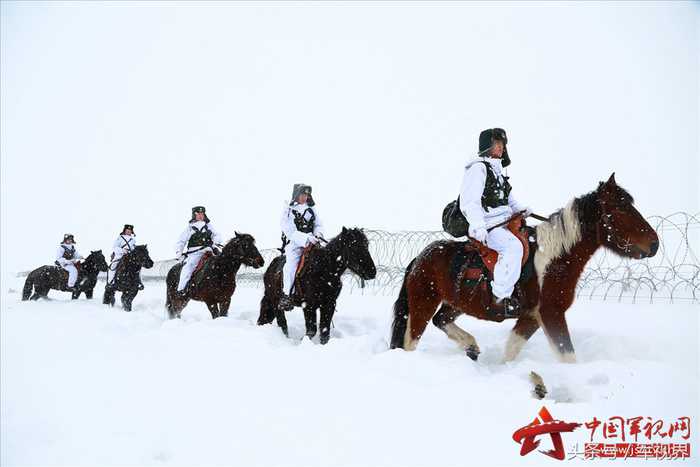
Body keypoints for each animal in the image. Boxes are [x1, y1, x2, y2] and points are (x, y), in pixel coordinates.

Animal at [392, 174, 660, 364]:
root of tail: (419, 259)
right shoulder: (551, 314)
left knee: (442, 320)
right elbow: (568, 356)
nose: (655, 244)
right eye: (620, 208)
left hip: (456, 304)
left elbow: (511, 349)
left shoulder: (531, 317)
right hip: (423, 304)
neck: (552, 260)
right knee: (411, 340)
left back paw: (471, 346)